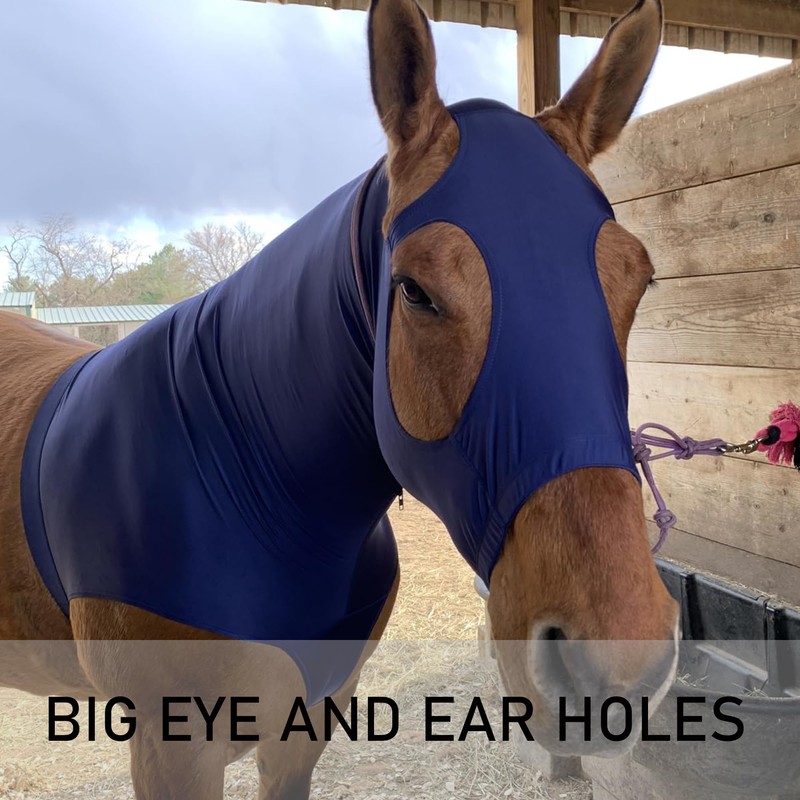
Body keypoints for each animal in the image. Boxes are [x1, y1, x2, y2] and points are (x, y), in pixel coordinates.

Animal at [0, 0, 679, 795]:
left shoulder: (310, 720)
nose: (617, 666)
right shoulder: (172, 748)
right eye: (414, 290)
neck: (245, 483)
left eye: (638, 279)